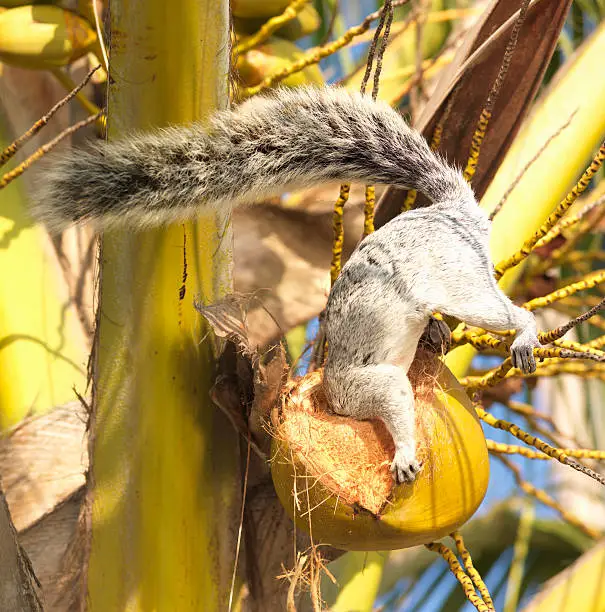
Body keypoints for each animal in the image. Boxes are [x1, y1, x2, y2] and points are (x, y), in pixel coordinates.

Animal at [35, 88, 540, 486]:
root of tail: (450, 211)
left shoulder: (363, 385)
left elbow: (395, 400)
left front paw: (403, 455)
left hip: (457, 278)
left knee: (504, 311)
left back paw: (523, 337)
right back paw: (437, 330)